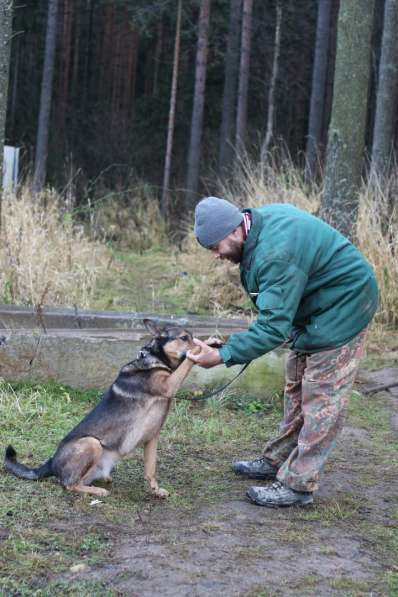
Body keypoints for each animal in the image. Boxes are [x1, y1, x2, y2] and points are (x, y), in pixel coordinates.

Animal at [3, 322, 199, 498]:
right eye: (184, 338)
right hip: (92, 443)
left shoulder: (152, 438)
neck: (156, 359)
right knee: (69, 484)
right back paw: (98, 491)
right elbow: (187, 363)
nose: (203, 342)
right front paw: (202, 348)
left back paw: (104, 480)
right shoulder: (169, 385)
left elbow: (150, 470)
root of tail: (51, 463)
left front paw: (156, 491)